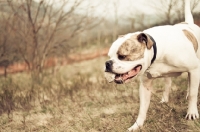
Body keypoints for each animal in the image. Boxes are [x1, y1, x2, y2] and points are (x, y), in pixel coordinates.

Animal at [104, 0, 200, 130]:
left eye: (122, 56)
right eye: (109, 56)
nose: (107, 63)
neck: (157, 52)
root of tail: (189, 23)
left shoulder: (194, 69)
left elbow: (193, 95)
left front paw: (192, 112)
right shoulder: (145, 84)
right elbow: (142, 108)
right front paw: (137, 125)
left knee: (191, 85)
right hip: (167, 75)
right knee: (168, 83)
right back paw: (165, 99)